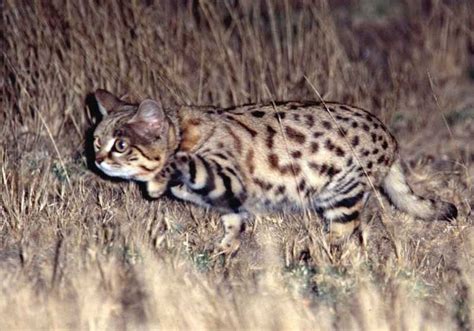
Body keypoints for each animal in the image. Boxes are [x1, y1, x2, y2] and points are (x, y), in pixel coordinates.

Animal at [90, 89, 458, 250]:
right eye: (96, 141)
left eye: (120, 145)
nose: (97, 160)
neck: (182, 132)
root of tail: (391, 138)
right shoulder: (230, 200)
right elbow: (233, 226)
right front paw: (224, 250)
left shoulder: (228, 178)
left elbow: (183, 162)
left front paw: (158, 180)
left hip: (341, 193)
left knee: (345, 231)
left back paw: (313, 254)